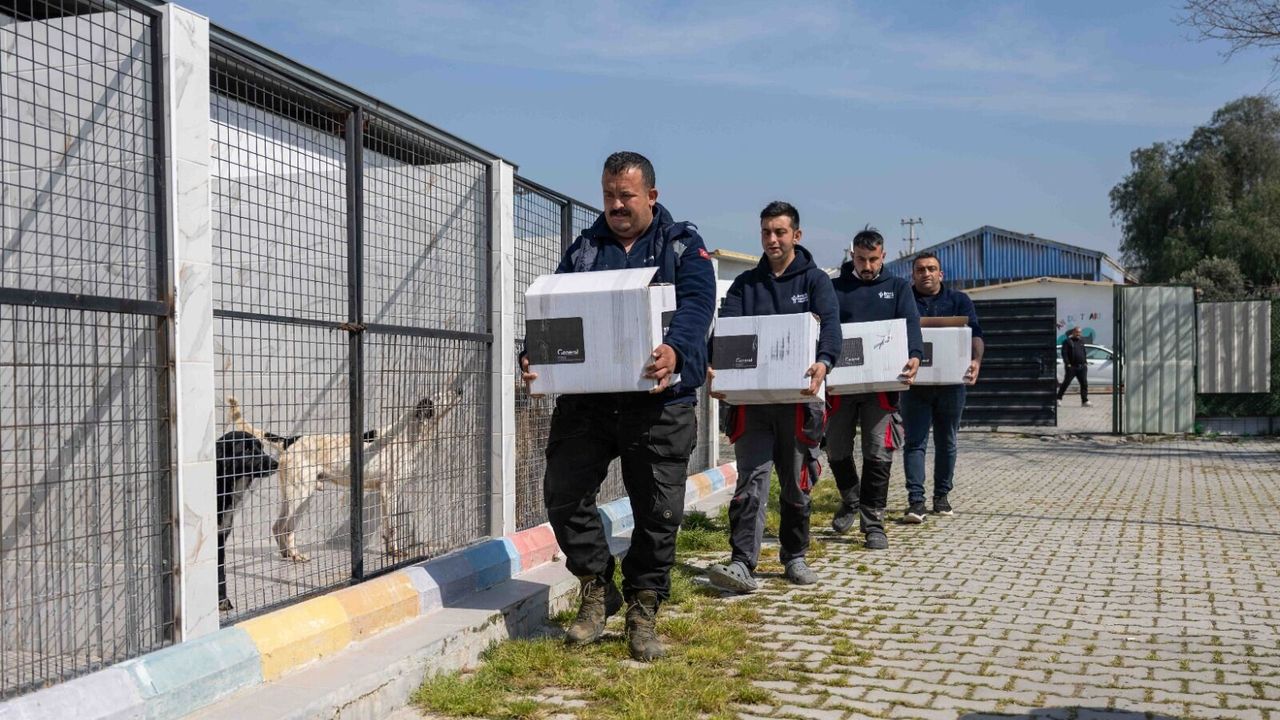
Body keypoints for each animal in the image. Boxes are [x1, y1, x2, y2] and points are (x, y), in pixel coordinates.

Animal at [228, 383, 463, 563]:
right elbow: (393, 528)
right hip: (301, 496)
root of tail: (290, 440)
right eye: (438, 396)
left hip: (294, 496)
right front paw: (395, 553)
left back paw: (287, 555)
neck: (407, 435)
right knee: (286, 528)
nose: (459, 389)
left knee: (277, 527)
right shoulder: (389, 491)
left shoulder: (386, 492)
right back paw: (295, 555)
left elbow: (389, 527)